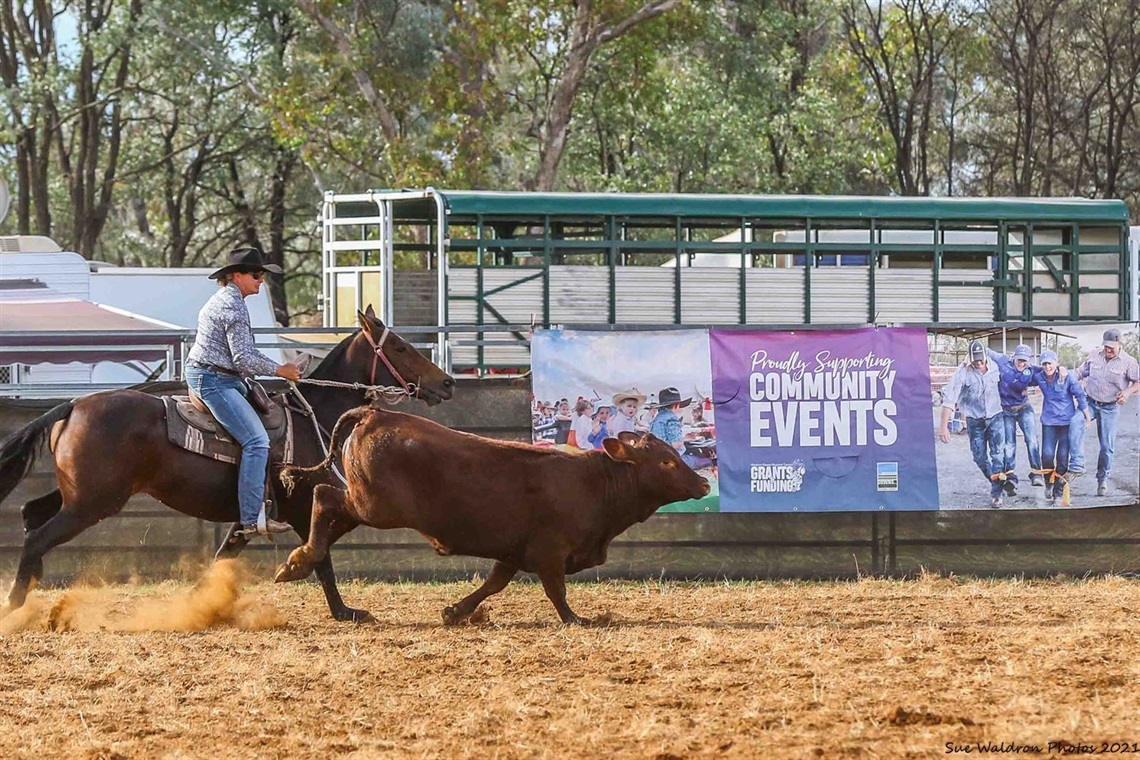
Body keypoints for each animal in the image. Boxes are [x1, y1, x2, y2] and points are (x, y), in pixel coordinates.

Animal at [0, 305, 451, 619]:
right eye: (400, 347)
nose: (446, 383)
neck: (314, 419)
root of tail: (74, 404)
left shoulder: (248, 513)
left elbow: (225, 555)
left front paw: (197, 603)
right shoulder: (303, 505)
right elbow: (321, 553)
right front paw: (343, 610)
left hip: (80, 493)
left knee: (31, 512)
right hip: (93, 502)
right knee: (37, 535)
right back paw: (15, 605)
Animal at [271, 403, 706, 624]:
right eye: (667, 462)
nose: (703, 483)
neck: (594, 481)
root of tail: (375, 414)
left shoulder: (514, 551)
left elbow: (494, 583)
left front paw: (455, 611)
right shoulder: (549, 551)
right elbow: (557, 590)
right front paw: (577, 618)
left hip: (366, 506)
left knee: (327, 522)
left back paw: (301, 564)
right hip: (374, 506)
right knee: (324, 495)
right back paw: (300, 561)